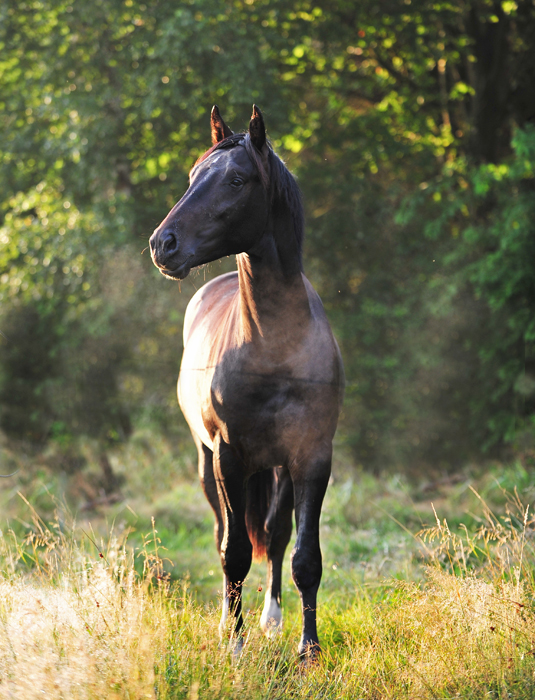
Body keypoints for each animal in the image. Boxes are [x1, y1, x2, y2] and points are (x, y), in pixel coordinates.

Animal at [149, 104, 346, 656]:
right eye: (193, 175)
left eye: (237, 179)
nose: (162, 244)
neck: (273, 351)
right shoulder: (229, 457)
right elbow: (233, 551)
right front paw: (234, 647)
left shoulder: (311, 458)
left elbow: (304, 557)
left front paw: (308, 649)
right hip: (207, 463)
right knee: (225, 534)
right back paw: (227, 623)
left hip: (277, 470)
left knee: (276, 537)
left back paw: (272, 621)